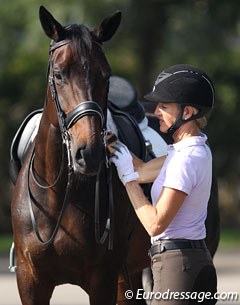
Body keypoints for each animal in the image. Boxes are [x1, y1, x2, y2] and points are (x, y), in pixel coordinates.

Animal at [11, 5, 150, 304]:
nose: (90, 153)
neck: (58, 196)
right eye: (59, 74)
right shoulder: (30, 280)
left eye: (106, 76)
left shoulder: (103, 280)